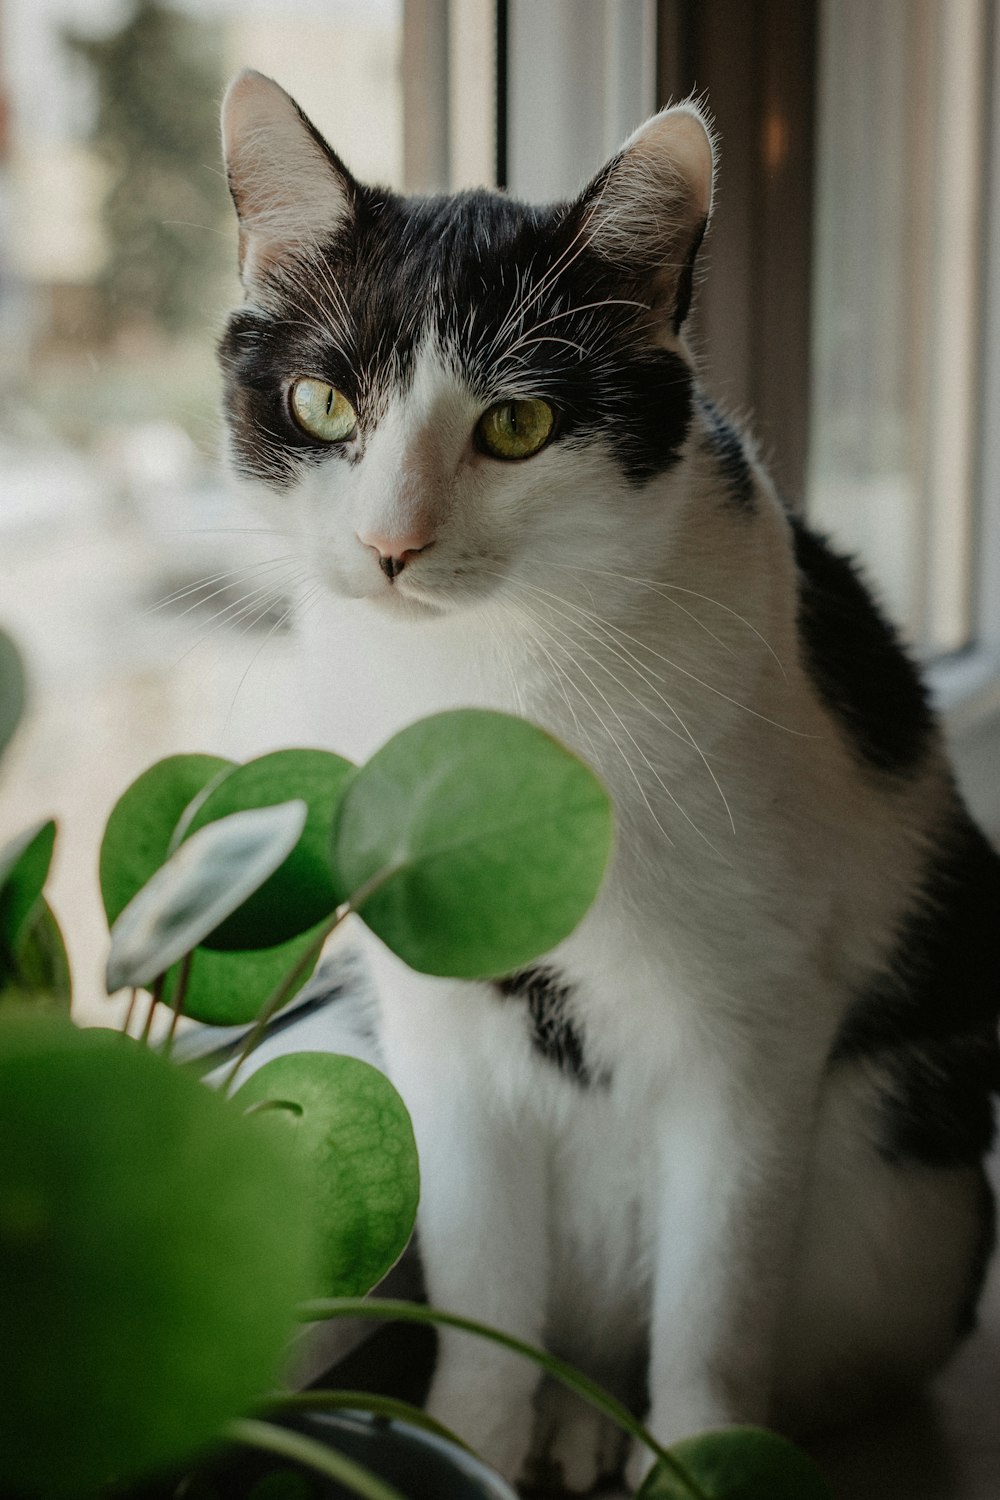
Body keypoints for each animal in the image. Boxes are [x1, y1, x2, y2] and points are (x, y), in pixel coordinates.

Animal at [218, 67, 1000, 1488]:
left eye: (518, 423)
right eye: (322, 407)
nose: (390, 544)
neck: (490, 686)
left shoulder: (751, 1033)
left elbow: (716, 1303)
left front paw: (698, 1456)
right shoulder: (437, 1019)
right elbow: (479, 1282)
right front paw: (471, 1440)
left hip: (892, 1207)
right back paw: (570, 1415)